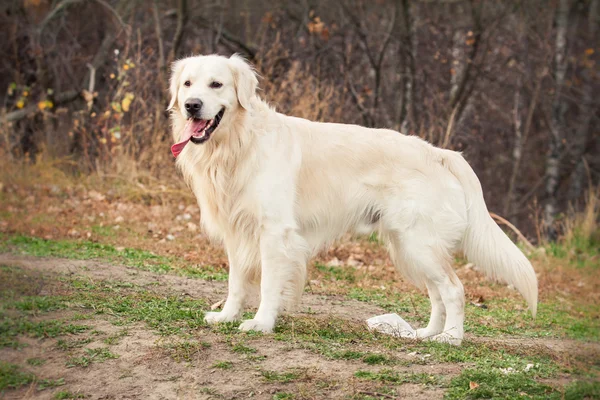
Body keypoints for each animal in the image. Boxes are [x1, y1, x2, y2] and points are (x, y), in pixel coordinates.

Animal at [168, 54, 540, 346]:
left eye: (216, 84)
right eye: (187, 84)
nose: (191, 105)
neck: (238, 144)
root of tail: (440, 153)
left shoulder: (274, 233)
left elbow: (269, 284)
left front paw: (261, 323)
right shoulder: (236, 232)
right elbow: (236, 283)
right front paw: (227, 316)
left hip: (420, 244)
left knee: (454, 289)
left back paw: (451, 338)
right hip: (409, 247)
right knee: (437, 293)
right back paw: (426, 334)